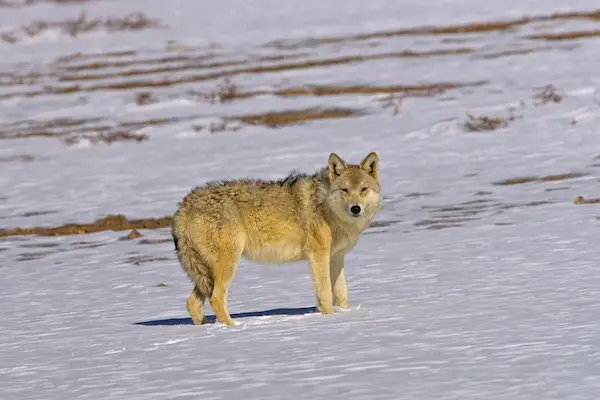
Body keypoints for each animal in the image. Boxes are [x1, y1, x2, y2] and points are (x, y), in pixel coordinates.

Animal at [171, 152, 382, 326]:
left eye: (363, 189)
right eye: (345, 190)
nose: (356, 208)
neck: (327, 209)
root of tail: (184, 205)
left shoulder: (336, 258)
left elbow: (342, 295)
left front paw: (344, 316)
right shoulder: (318, 256)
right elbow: (325, 294)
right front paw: (330, 319)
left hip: (205, 273)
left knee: (192, 302)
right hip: (228, 263)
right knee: (216, 298)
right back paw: (234, 328)